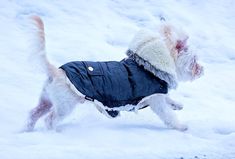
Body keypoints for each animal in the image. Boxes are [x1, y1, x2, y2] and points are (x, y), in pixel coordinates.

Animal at [24, 16, 204, 132]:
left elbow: (168, 99)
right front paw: (180, 126)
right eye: (194, 61)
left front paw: (177, 104)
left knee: (33, 113)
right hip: (64, 105)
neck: (148, 66)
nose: (202, 70)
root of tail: (57, 70)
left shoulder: (157, 95)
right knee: (49, 120)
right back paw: (53, 132)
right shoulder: (155, 99)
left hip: (47, 100)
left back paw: (27, 129)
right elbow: (168, 115)